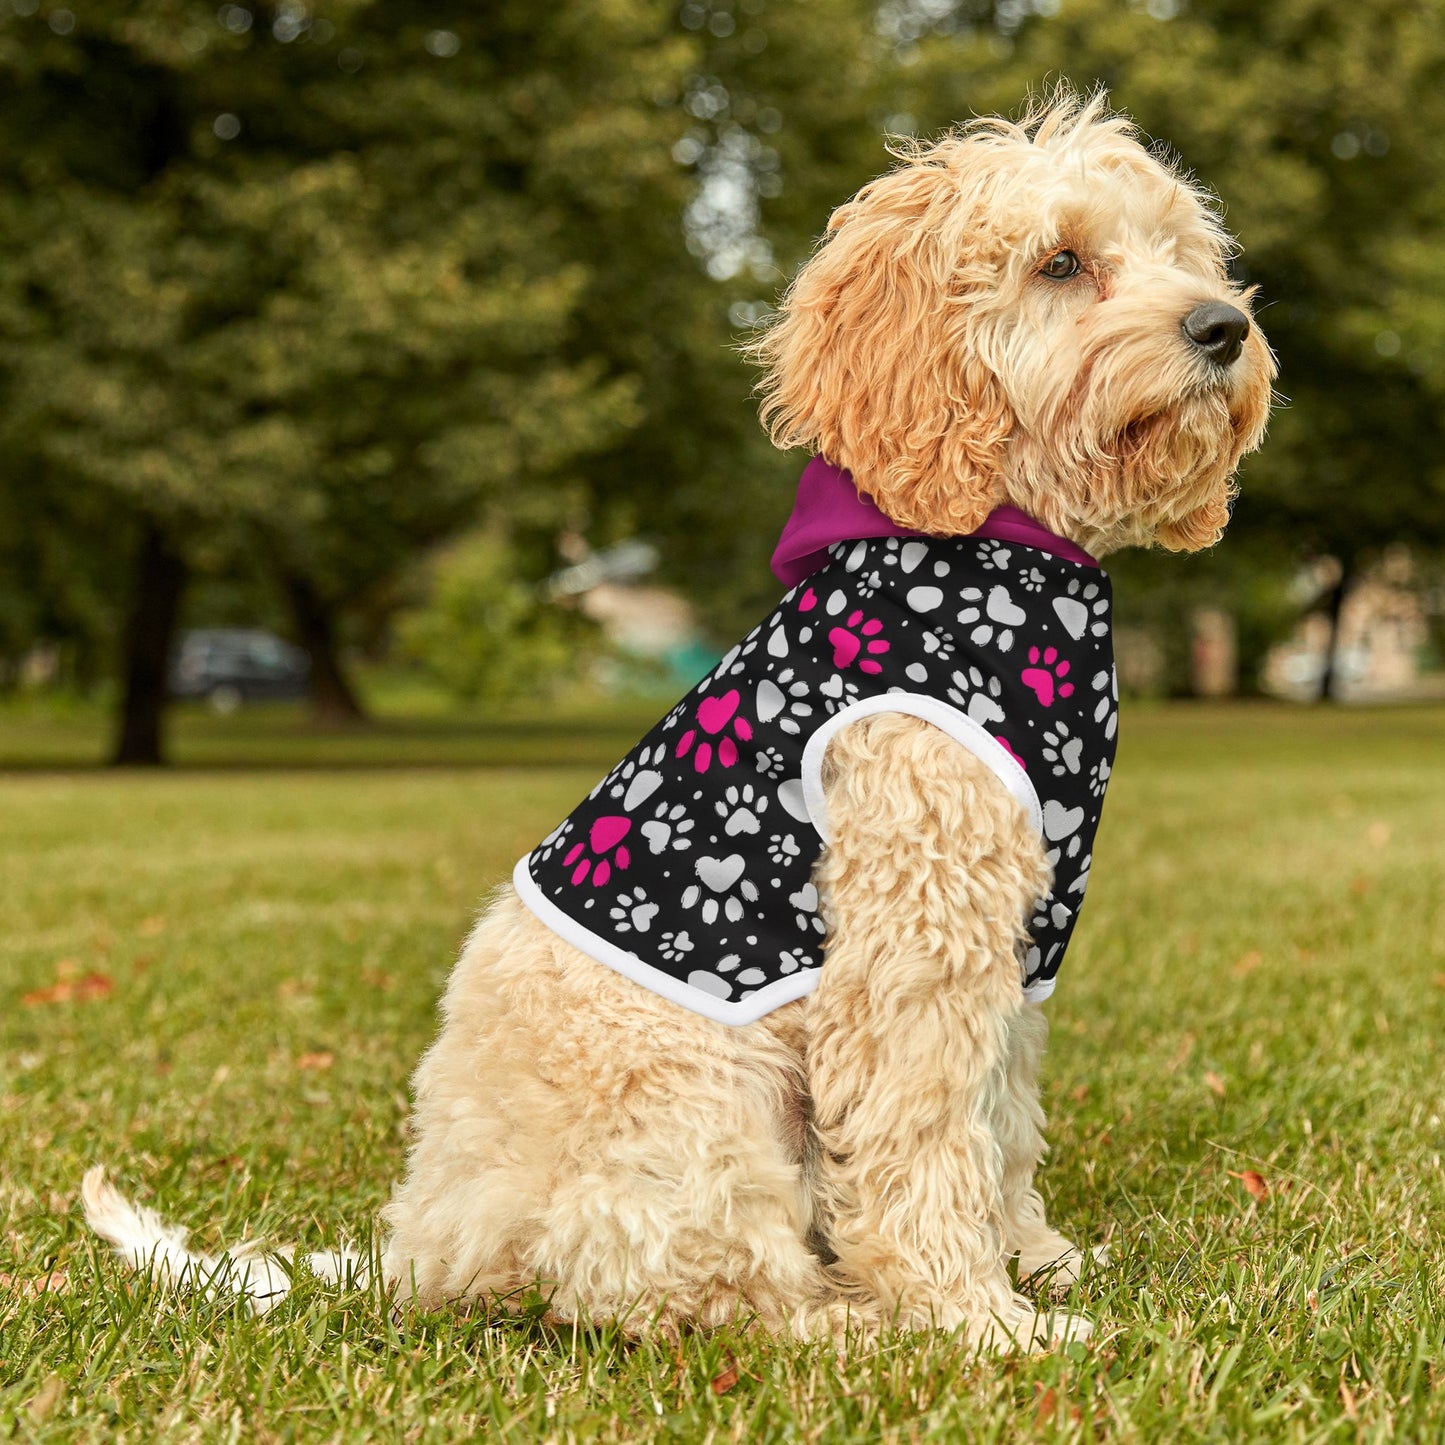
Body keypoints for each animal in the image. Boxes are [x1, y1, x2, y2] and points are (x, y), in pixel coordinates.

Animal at [84, 93, 1271, 1352]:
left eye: (1180, 252)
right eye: (1059, 262)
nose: (1222, 327)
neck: (999, 548)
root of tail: (423, 1247)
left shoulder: (1014, 941)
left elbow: (998, 1120)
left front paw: (1035, 1260)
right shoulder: (912, 936)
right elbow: (923, 1137)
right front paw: (976, 1318)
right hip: (701, 1100)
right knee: (699, 1291)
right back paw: (852, 1322)